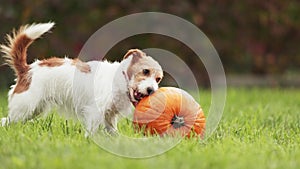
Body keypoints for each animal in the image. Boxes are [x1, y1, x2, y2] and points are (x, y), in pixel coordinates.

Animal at [0, 22, 164, 136]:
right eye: (145, 71)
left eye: (158, 79)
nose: (151, 90)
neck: (121, 80)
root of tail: (27, 69)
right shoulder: (95, 111)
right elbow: (92, 130)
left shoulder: (109, 116)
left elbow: (113, 131)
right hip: (25, 107)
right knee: (6, 121)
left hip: (33, 109)